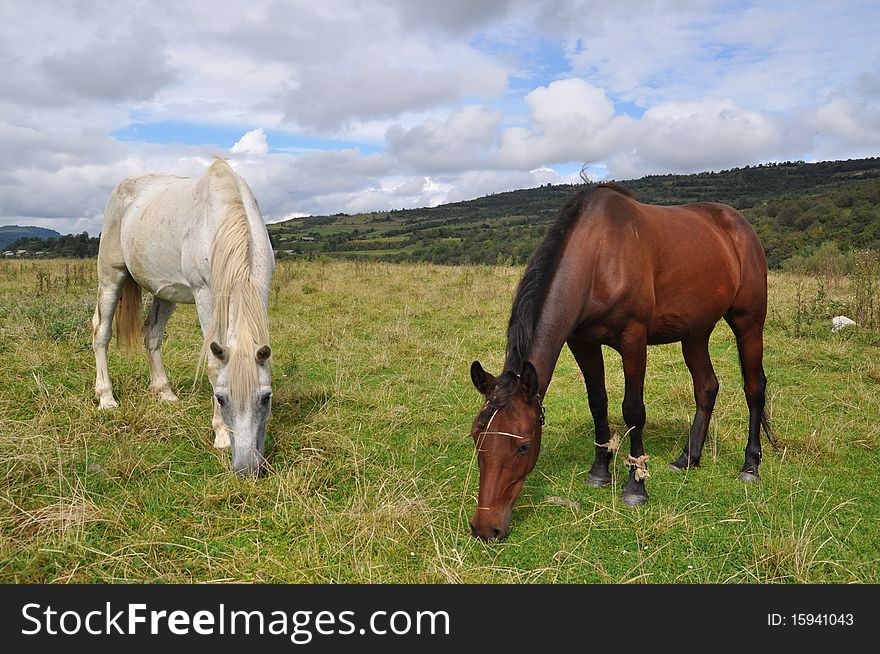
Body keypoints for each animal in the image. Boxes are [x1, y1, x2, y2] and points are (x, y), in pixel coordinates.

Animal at [93, 158, 276, 476]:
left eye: (266, 397)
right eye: (221, 398)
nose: (247, 469)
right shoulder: (205, 296)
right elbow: (214, 366)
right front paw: (220, 435)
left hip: (165, 293)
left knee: (152, 333)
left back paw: (164, 392)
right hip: (111, 276)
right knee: (100, 331)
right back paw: (106, 397)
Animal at [470, 182, 772, 540]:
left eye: (524, 447)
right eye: (477, 438)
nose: (484, 527)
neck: (599, 258)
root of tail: (739, 226)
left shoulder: (633, 340)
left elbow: (633, 410)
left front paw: (636, 485)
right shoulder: (582, 342)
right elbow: (597, 403)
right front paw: (600, 471)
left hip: (748, 321)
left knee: (754, 388)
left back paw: (750, 465)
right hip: (695, 331)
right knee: (707, 387)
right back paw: (688, 458)